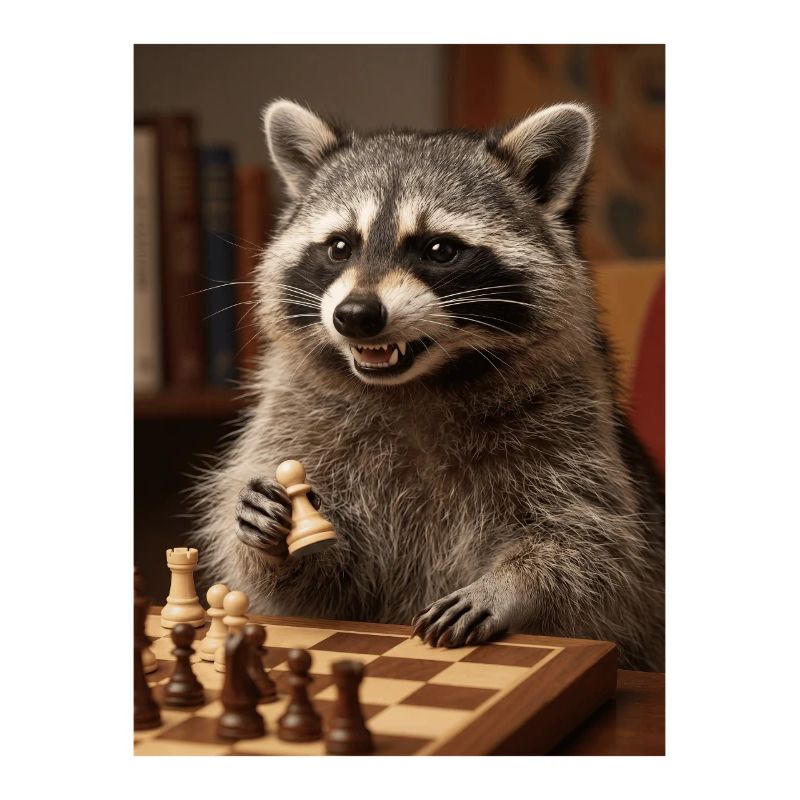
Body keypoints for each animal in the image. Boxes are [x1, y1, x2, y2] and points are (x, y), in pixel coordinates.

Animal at [193, 99, 665, 671]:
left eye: (439, 249)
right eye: (339, 247)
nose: (355, 316)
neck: (419, 384)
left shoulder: (574, 421)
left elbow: (592, 551)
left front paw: (513, 584)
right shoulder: (297, 418)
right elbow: (319, 594)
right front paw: (279, 544)